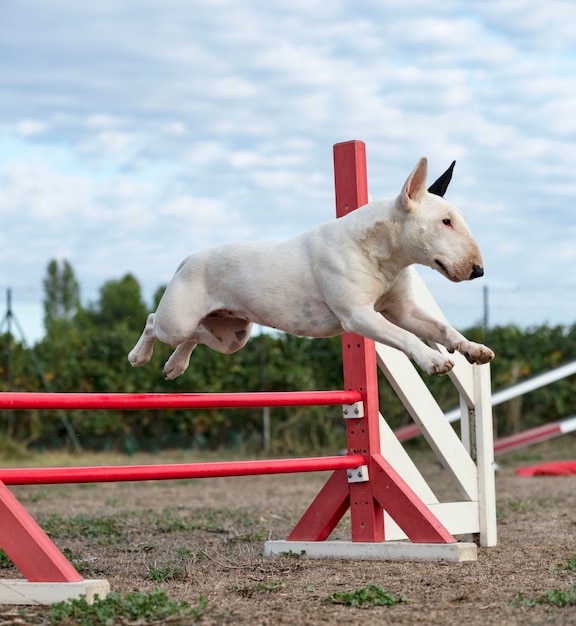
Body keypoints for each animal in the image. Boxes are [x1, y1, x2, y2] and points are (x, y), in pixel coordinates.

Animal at [128, 158, 492, 378]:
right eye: (445, 222)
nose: (478, 271)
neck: (380, 251)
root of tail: (188, 259)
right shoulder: (358, 315)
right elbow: (404, 336)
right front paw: (434, 360)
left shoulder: (400, 309)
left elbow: (440, 328)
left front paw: (473, 348)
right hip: (178, 318)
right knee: (154, 322)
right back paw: (139, 357)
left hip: (232, 336)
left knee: (196, 336)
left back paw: (175, 365)